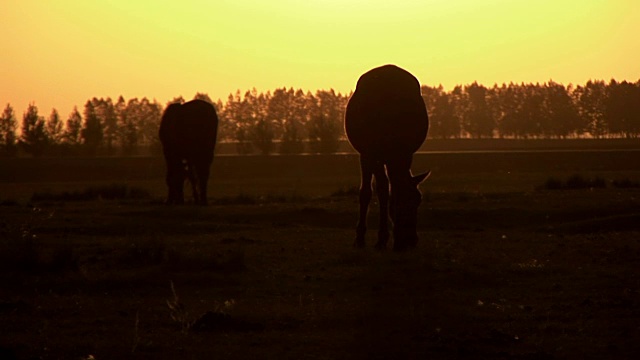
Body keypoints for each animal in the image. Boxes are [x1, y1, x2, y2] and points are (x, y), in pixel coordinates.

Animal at [344, 64, 430, 250]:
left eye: (418, 200)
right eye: (403, 204)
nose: (411, 240)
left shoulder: (404, 155)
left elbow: (387, 189)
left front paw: (388, 237)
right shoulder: (369, 154)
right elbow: (375, 190)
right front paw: (370, 237)